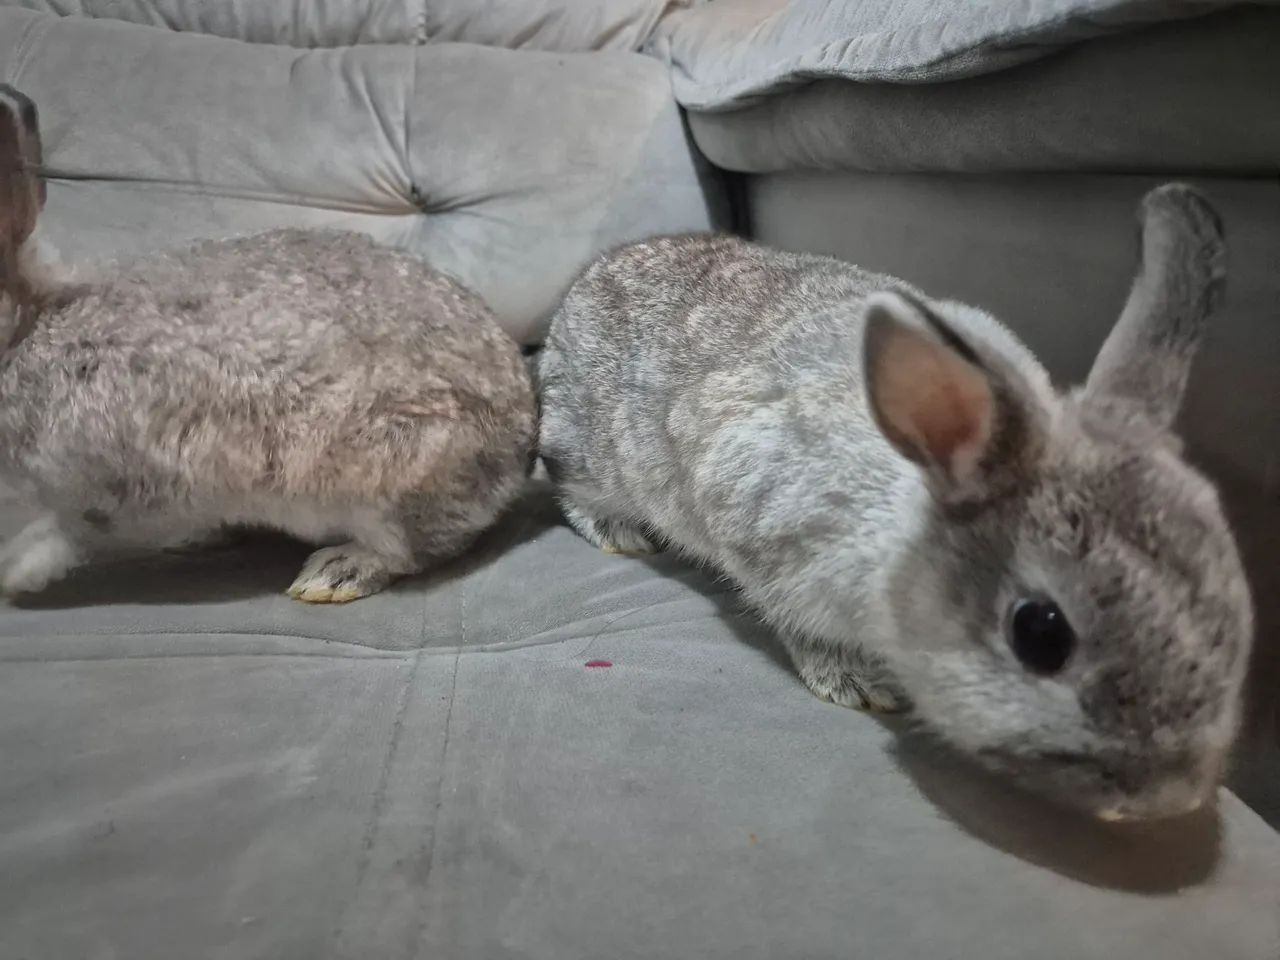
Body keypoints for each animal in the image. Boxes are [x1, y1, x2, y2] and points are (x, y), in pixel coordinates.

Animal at [0, 85, 536, 603]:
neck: (31, 329)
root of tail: (521, 440)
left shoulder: (105, 489)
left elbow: (67, 535)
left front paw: (16, 572)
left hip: (390, 472)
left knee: (414, 546)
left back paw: (332, 575)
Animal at [538, 182, 1253, 821]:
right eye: (1039, 634)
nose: (1172, 796)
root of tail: (578, 291)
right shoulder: (771, 540)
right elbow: (802, 626)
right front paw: (858, 686)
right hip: (589, 457)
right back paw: (620, 532)